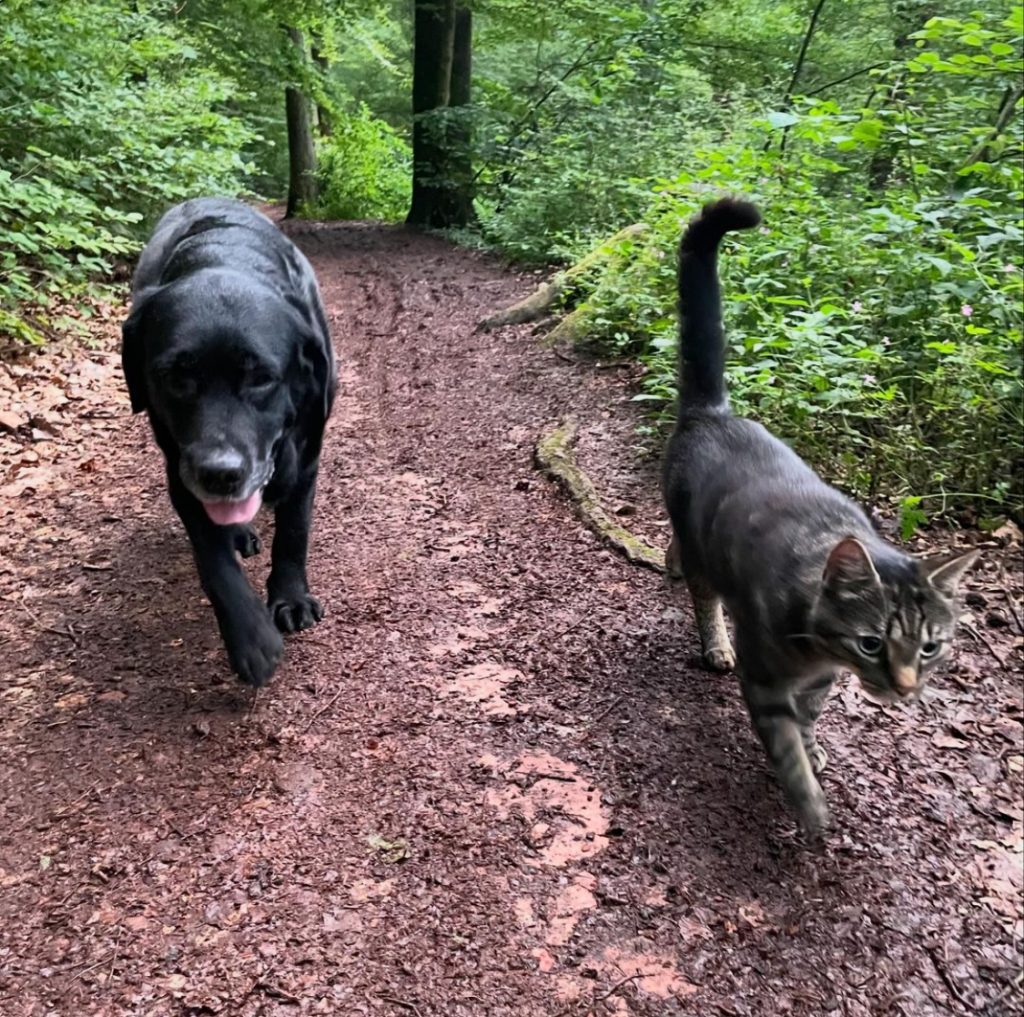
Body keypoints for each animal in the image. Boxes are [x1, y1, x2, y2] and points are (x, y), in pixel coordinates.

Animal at [120, 197, 335, 684]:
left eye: (261, 377)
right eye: (175, 377)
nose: (220, 473)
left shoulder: (307, 457)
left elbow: (294, 531)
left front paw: (291, 598)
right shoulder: (180, 473)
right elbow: (214, 564)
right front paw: (250, 640)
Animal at [659, 196, 978, 831]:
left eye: (930, 647)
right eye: (871, 644)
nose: (905, 688)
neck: (817, 649)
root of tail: (713, 412)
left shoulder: (818, 685)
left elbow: (806, 725)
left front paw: (815, 752)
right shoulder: (765, 679)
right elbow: (785, 744)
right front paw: (809, 803)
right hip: (704, 553)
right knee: (702, 590)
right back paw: (712, 639)